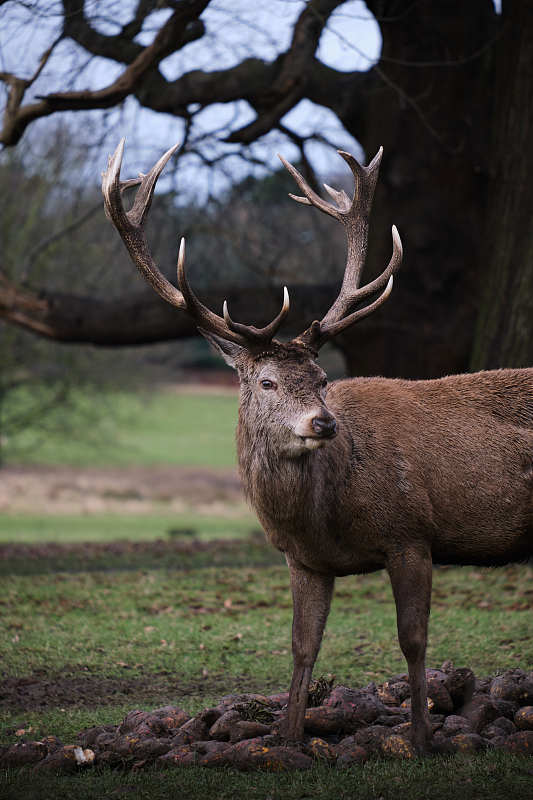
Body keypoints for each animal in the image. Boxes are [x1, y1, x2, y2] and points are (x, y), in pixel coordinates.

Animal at [101, 141, 532, 752]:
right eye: (267, 382)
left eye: (323, 378)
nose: (323, 423)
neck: (326, 515)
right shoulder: (302, 559)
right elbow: (303, 645)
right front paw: (287, 738)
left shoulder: (411, 533)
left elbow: (413, 640)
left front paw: (422, 738)